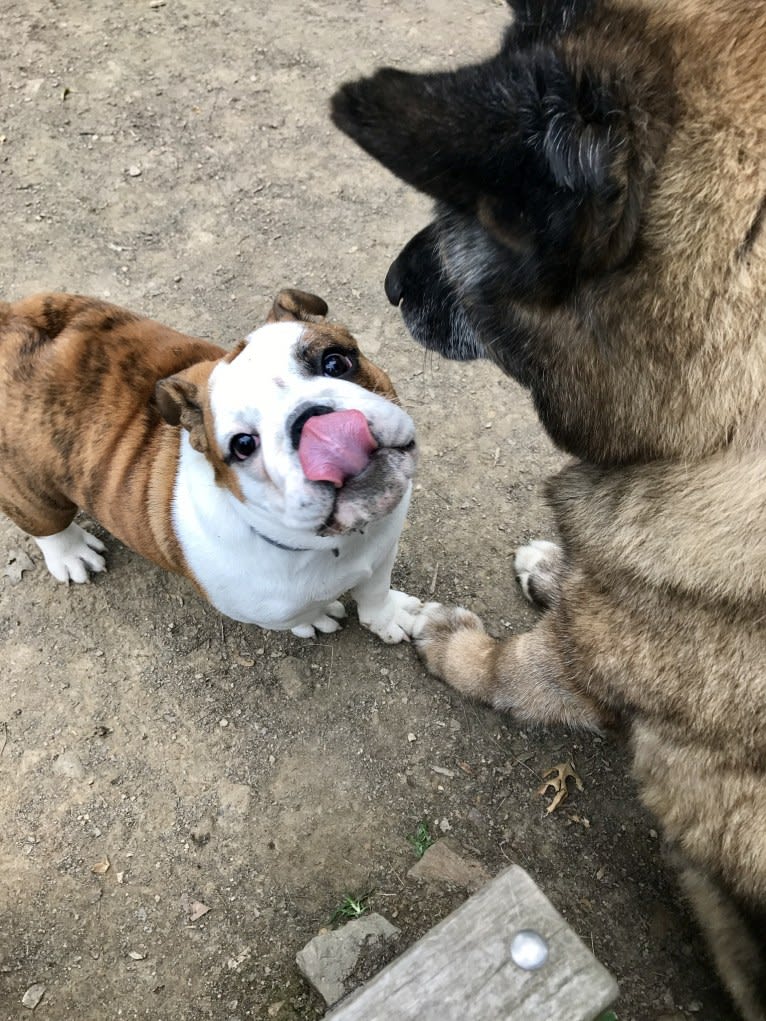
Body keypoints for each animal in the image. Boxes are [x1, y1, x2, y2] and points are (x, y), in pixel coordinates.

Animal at [0, 287, 420, 637]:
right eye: (243, 444)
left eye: (335, 362)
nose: (312, 421)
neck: (340, 541)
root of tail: (12, 319)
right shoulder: (272, 611)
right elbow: (300, 616)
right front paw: (316, 618)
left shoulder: (382, 552)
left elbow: (375, 592)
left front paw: (390, 617)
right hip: (33, 493)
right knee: (46, 524)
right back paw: (72, 554)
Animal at [334, 0, 766, 1016]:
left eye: (474, 210)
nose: (388, 286)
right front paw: (548, 566)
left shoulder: (593, 665)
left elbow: (513, 666)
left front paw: (452, 644)